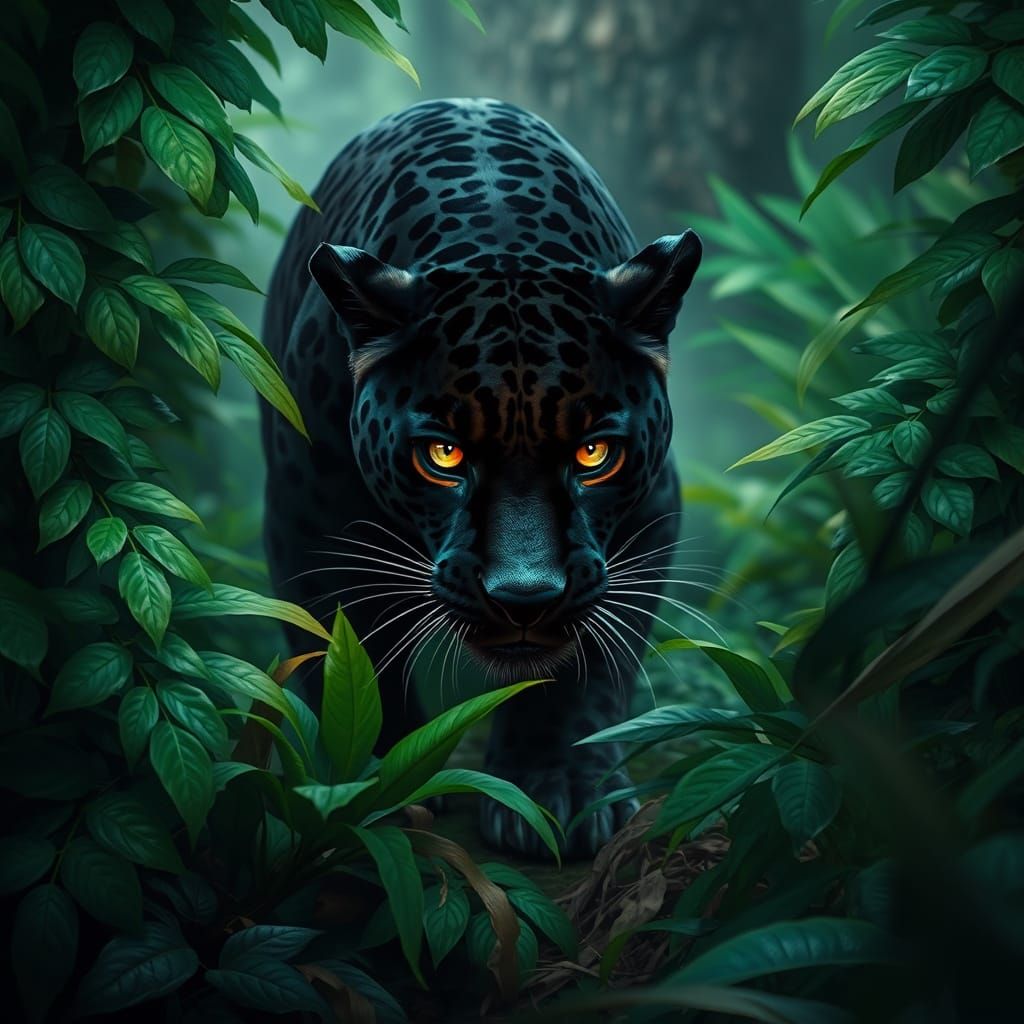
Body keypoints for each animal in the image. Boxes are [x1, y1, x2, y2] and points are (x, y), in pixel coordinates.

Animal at [261, 98, 702, 858]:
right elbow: (350, 655)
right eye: (443, 456)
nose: (524, 598)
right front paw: (374, 783)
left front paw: (561, 788)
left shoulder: (648, 517)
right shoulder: (306, 523)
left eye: (594, 454)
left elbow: (587, 665)